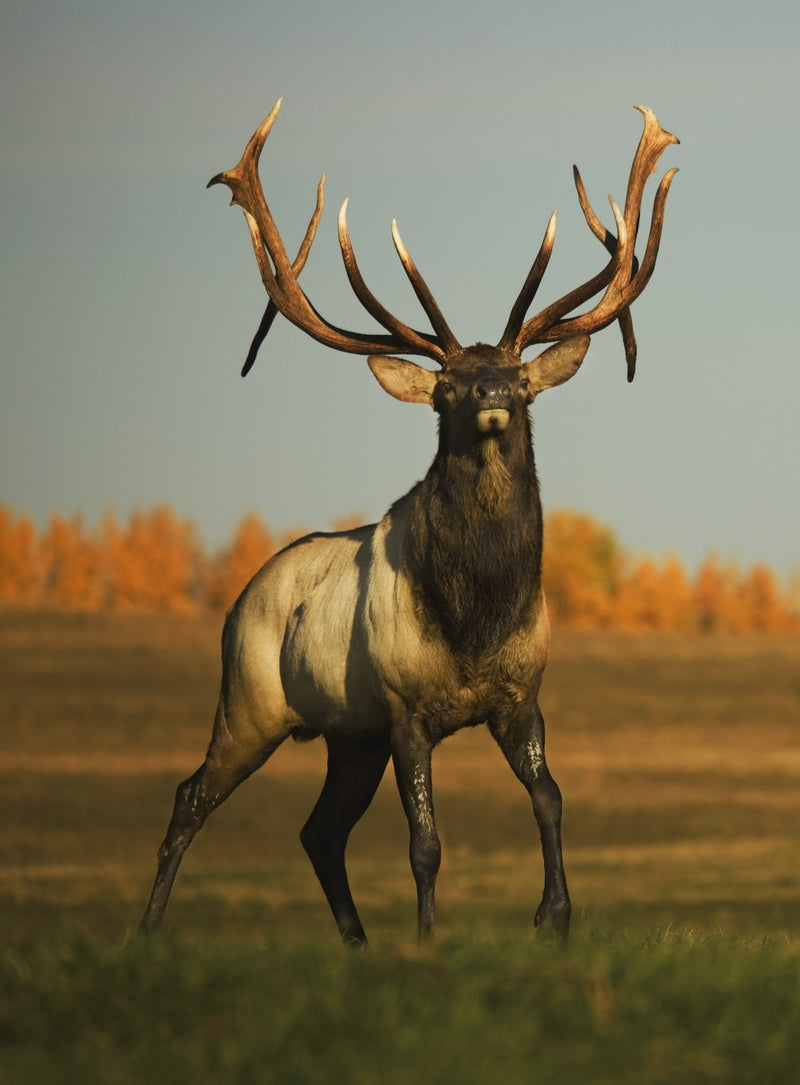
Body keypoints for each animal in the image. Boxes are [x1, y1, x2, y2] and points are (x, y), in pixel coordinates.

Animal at [141, 100, 678, 944]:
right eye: (446, 385)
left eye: (520, 378)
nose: (489, 392)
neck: (476, 619)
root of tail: (240, 597)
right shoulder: (404, 709)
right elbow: (425, 840)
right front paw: (428, 939)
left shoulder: (519, 697)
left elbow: (551, 798)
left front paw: (553, 916)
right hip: (251, 699)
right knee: (192, 793)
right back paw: (148, 926)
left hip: (345, 734)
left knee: (319, 829)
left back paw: (357, 942)